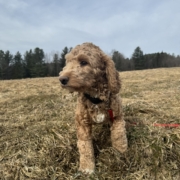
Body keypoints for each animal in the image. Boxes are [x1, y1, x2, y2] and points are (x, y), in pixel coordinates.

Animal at [58, 42, 126, 174]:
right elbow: (85, 147)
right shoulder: (82, 125)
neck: (95, 99)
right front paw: (87, 168)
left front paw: (121, 156)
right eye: (67, 62)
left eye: (84, 62)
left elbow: (119, 137)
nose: (62, 79)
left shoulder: (117, 118)